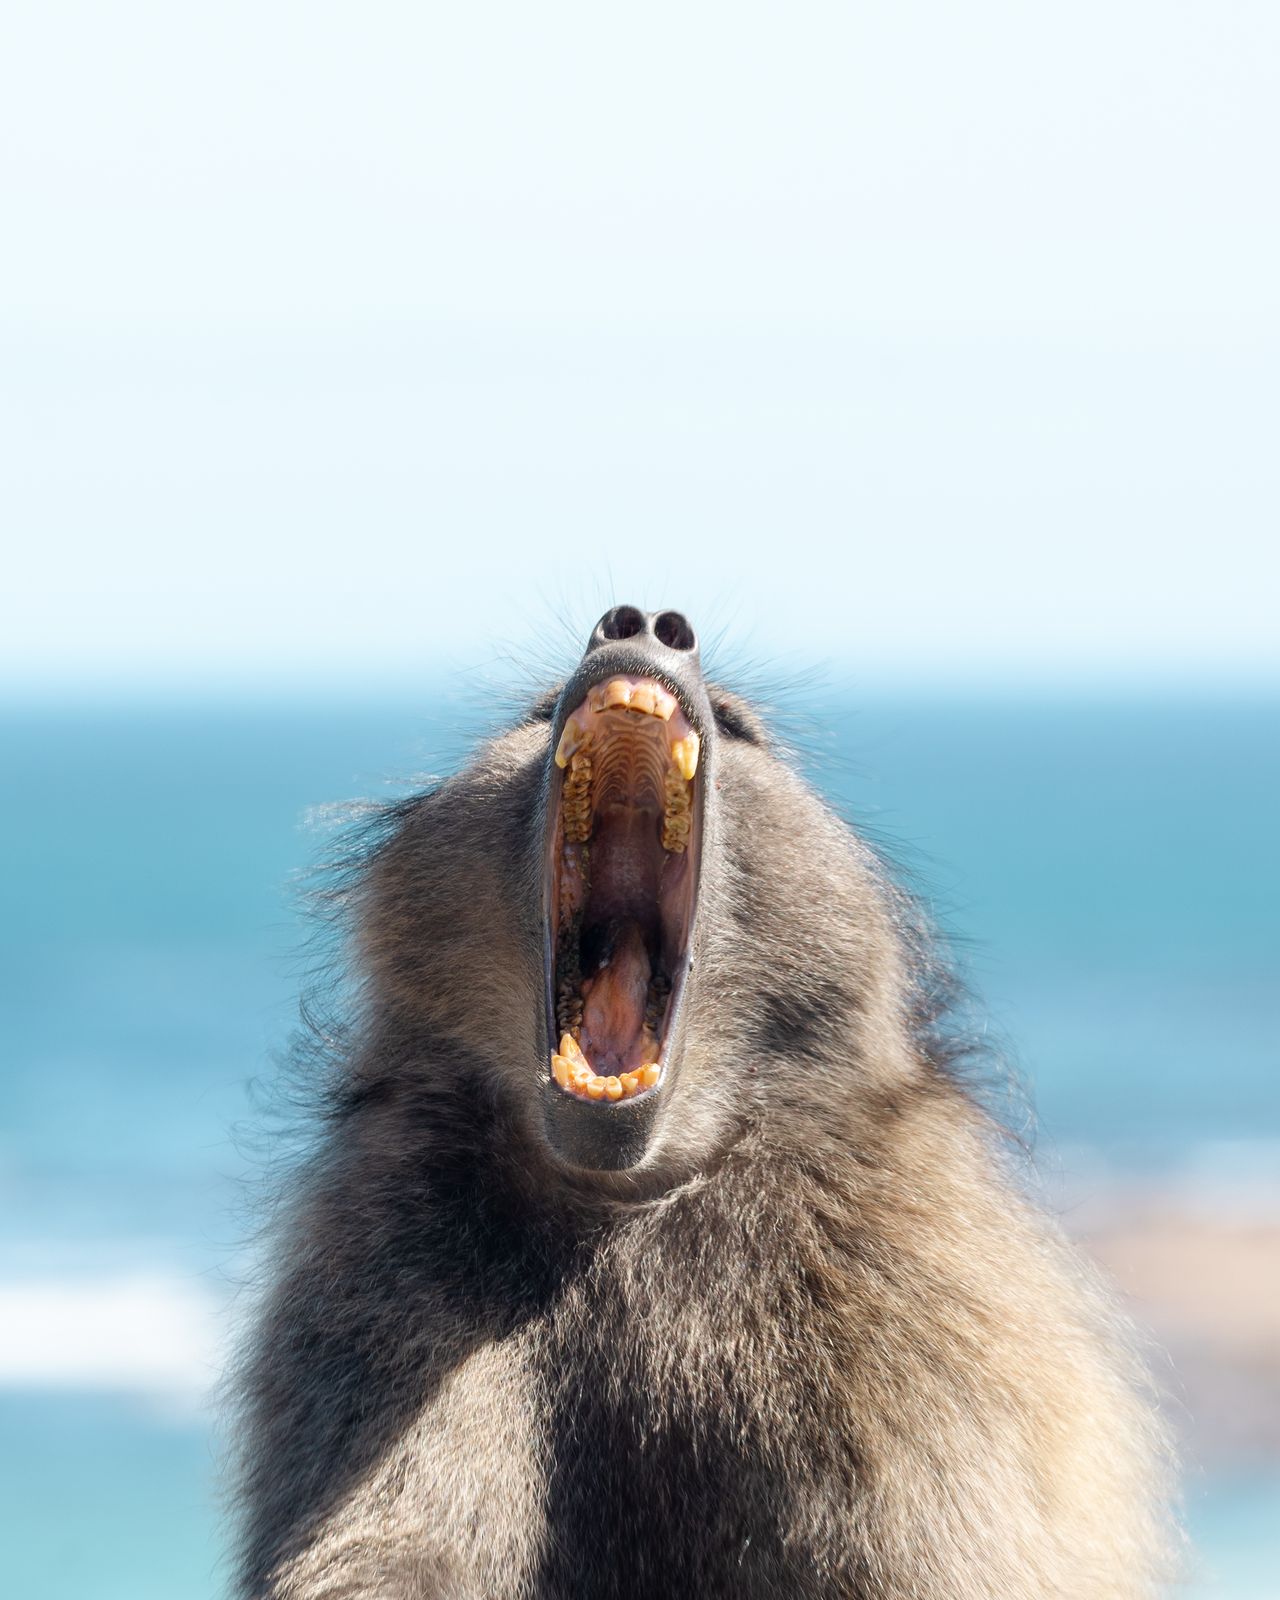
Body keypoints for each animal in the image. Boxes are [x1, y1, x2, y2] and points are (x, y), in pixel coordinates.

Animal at [232, 606, 1175, 1599]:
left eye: (735, 725)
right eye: (535, 712)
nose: (643, 622)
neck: (629, 1203)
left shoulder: (906, 1301)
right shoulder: (386, 1260)